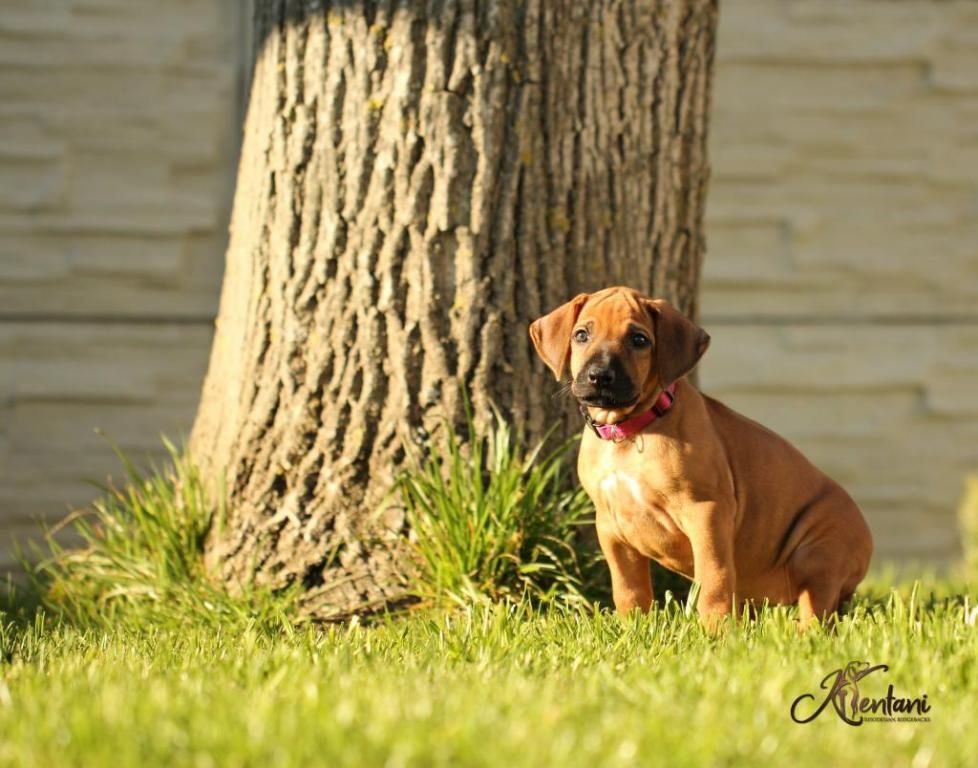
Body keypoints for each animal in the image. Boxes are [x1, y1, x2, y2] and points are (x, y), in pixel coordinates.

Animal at [529, 286, 873, 627]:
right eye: (581, 335)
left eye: (639, 340)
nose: (599, 376)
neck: (630, 432)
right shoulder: (611, 527)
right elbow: (628, 589)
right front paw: (633, 629)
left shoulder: (706, 512)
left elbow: (714, 580)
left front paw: (716, 632)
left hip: (820, 551)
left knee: (816, 609)